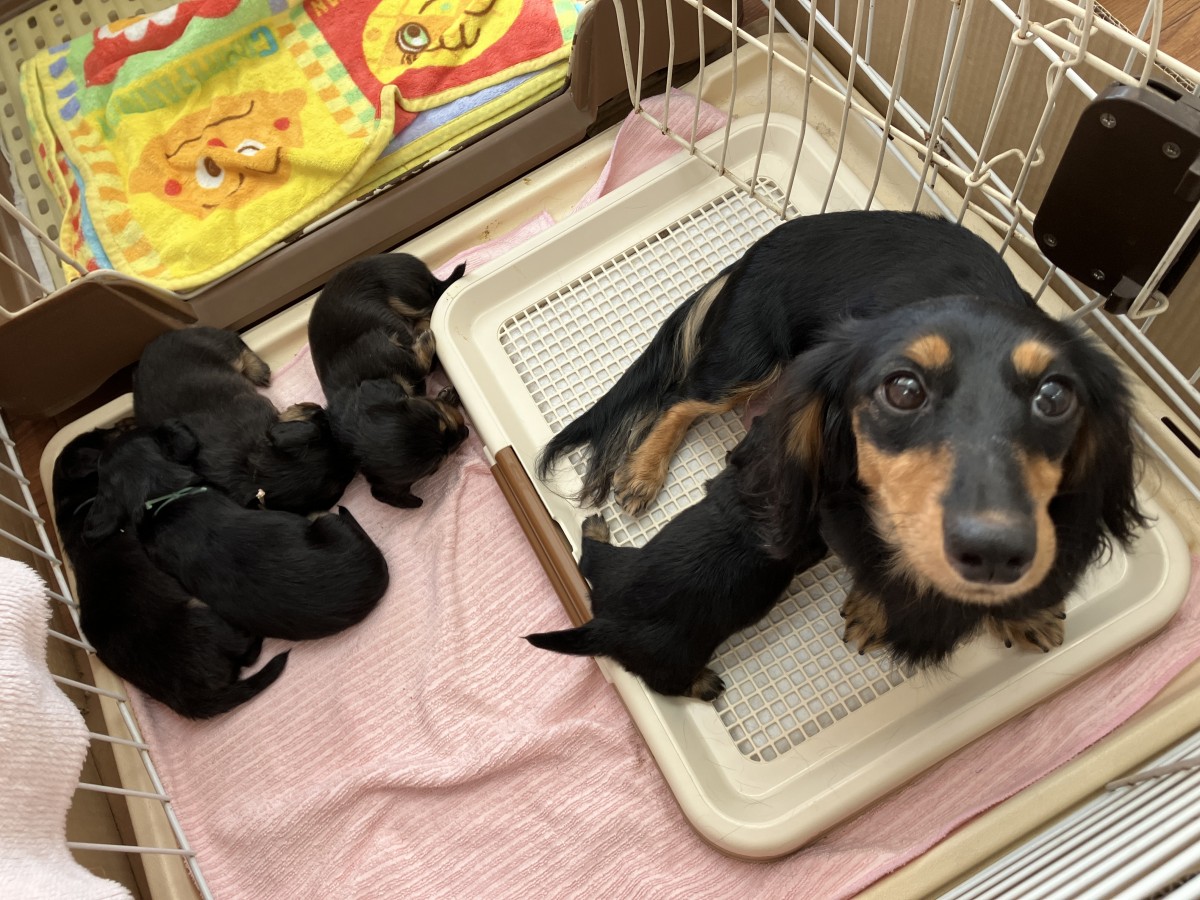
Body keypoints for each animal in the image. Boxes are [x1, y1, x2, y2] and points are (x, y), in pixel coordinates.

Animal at [134, 326, 354, 514]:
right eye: (323, 425)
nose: (319, 408)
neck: (253, 469)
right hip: (217, 348)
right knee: (236, 345)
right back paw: (259, 371)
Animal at [308, 254, 470, 508]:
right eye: (436, 466)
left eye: (438, 418)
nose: (466, 432)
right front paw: (447, 395)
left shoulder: (385, 349)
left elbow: (417, 363)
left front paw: (426, 340)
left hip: (404, 294)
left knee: (430, 304)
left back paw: (425, 325)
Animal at [524, 448, 828, 700]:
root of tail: (606, 623)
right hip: (678, 658)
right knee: (668, 686)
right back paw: (705, 685)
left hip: (620, 562)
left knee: (589, 557)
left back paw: (595, 529)